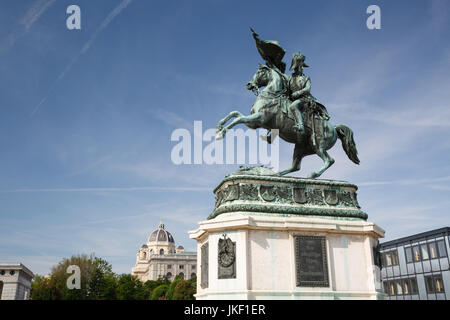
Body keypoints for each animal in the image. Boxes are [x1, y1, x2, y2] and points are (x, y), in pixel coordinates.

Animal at [216, 63, 360, 179]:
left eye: (259, 72)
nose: (249, 84)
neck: (271, 96)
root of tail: (333, 128)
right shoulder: (253, 123)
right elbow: (234, 114)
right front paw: (219, 126)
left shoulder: (259, 119)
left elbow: (238, 118)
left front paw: (221, 133)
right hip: (301, 148)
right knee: (295, 166)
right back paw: (277, 174)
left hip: (318, 145)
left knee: (330, 160)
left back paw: (313, 174)